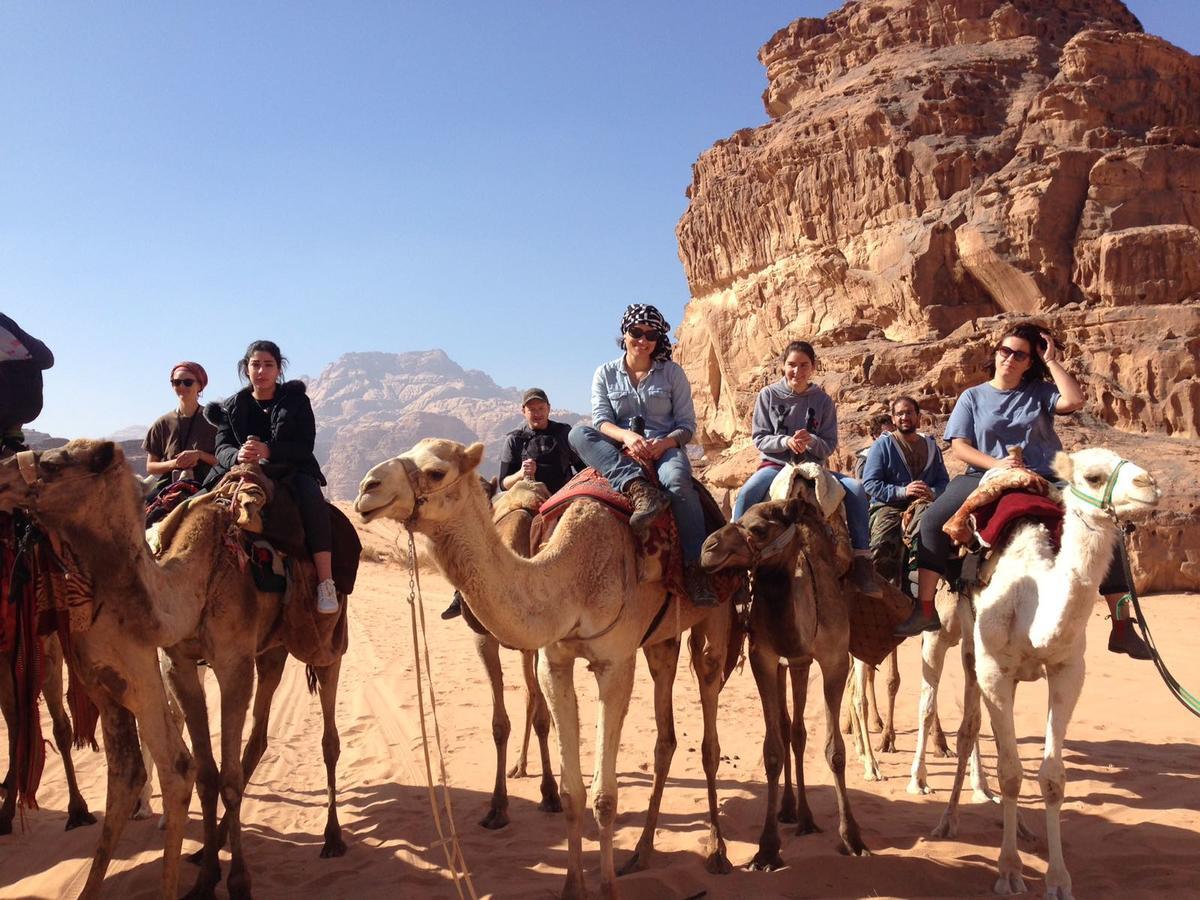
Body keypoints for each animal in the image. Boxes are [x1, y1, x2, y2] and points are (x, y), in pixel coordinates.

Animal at [352, 441, 739, 897]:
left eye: (435, 472)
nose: (367, 489)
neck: (573, 574)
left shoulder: (614, 663)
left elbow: (604, 796)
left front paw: (607, 888)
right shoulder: (554, 661)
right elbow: (573, 791)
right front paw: (574, 884)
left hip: (715, 616)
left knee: (709, 724)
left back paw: (717, 851)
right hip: (659, 640)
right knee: (665, 739)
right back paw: (641, 853)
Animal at [700, 496, 868, 868]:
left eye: (760, 529)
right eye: (739, 517)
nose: (708, 548)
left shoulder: (835, 659)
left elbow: (835, 751)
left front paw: (853, 838)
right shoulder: (763, 657)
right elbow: (772, 751)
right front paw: (766, 849)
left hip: (802, 663)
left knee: (798, 730)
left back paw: (804, 817)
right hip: (786, 664)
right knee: (788, 726)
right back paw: (790, 810)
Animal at [931, 448, 1156, 897]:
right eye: (1093, 476)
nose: (1150, 485)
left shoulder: (1068, 670)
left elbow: (1050, 777)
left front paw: (1058, 880)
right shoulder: (993, 670)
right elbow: (1010, 772)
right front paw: (1009, 871)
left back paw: (1020, 826)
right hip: (969, 647)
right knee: (969, 730)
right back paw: (949, 819)